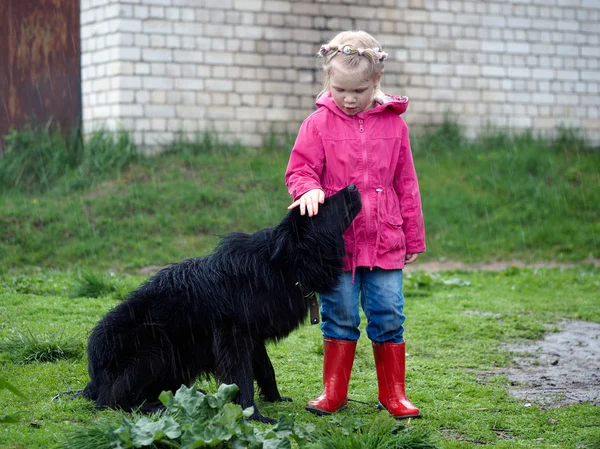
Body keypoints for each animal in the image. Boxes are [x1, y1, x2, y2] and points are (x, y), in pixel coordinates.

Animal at [81, 183, 360, 420]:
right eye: (321, 205)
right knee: (112, 401)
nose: (353, 187)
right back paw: (156, 406)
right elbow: (241, 379)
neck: (278, 267)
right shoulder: (233, 337)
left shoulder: (252, 337)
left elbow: (266, 370)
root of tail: (94, 380)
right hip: (155, 344)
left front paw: (275, 398)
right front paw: (253, 415)